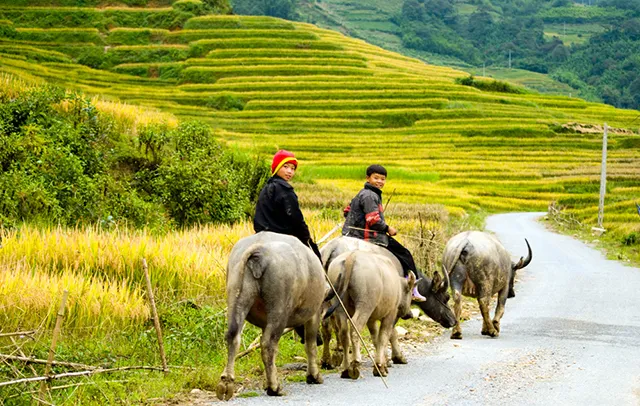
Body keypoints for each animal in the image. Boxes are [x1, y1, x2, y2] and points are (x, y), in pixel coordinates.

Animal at [219, 232, 328, 400]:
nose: (321, 339)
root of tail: (259, 249)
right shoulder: (314, 313)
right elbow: (310, 345)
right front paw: (313, 376)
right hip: (279, 310)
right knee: (269, 344)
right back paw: (274, 388)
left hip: (236, 296)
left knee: (233, 336)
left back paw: (226, 383)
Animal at [324, 249, 416, 380]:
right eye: (410, 293)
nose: (410, 313)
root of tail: (352, 256)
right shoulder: (390, 314)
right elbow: (383, 337)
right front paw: (380, 368)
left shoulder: (371, 319)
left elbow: (375, 338)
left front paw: (382, 364)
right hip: (365, 306)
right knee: (355, 328)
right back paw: (355, 363)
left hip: (339, 307)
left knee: (343, 333)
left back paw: (346, 368)